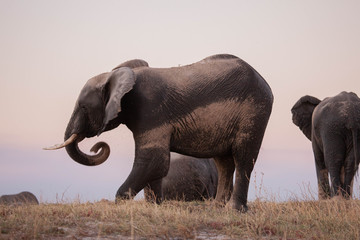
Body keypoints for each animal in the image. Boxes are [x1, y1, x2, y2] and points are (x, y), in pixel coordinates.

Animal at [46, 54, 274, 212]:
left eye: (83, 107)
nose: (97, 146)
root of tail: (263, 80)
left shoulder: (151, 111)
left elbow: (153, 160)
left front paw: (121, 203)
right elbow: (156, 165)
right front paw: (156, 206)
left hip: (255, 112)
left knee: (243, 158)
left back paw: (234, 211)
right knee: (224, 162)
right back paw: (216, 209)